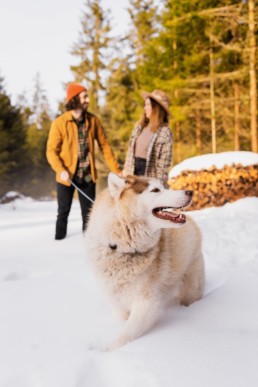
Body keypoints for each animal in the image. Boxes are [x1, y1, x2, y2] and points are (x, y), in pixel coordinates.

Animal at [85, 174, 205, 350]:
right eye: (155, 190)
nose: (190, 191)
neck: (121, 249)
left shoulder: (146, 304)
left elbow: (124, 335)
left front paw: (105, 350)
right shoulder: (117, 303)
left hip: (191, 288)